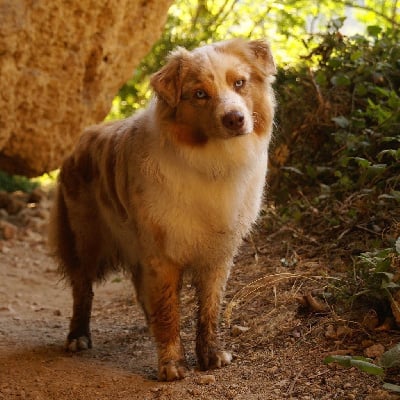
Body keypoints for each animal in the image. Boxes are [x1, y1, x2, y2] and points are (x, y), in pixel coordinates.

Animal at [48, 38, 276, 382]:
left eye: (239, 83)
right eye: (200, 94)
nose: (235, 119)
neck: (213, 162)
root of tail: (82, 137)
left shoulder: (218, 253)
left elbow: (209, 309)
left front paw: (210, 355)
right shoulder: (162, 253)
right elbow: (169, 310)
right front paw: (171, 364)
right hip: (85, 240)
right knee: (82, 288)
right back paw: (78, 336)